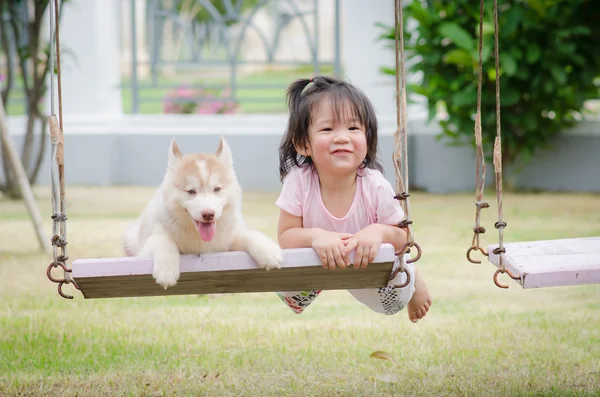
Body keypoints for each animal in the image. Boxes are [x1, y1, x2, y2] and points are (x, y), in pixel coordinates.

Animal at [124, 136, 284, 288]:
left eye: (217, 189)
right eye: (191, 191)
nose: (208, 214)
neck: (201, 241)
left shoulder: (227, 245)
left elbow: (248, 234)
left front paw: (268, 251)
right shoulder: (148, 244)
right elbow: (163, 241)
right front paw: (166, 270)